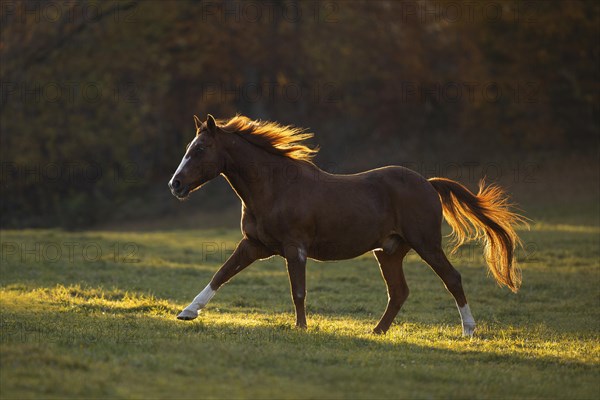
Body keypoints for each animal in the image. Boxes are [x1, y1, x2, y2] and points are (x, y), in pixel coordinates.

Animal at [169, 114, 524, 336]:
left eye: (199, 149)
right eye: (188, 149)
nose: (176, 185)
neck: (275, 188)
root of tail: (429, 183)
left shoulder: (294, 248)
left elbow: (298, 290)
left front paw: (301, 328)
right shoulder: (254, 245)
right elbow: (221, 274)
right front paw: (187, 312)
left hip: (426, 244)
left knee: (452, 278)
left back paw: (469, 330)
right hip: (389, 251)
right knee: (399, 292)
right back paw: (377, 331)